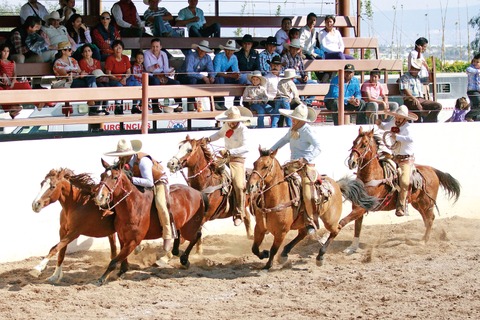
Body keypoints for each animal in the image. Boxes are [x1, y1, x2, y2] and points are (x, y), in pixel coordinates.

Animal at [248, 149, 378, 268]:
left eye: (266, 166)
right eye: (254, 163)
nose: (251, 185)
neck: (278, 198)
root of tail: (337, 185)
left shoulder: (281, 232)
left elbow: (274, 249)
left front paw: (267, 266)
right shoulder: (259, 227)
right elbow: (254, 248)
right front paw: (264, 253)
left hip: (329, 221)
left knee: (336, 229)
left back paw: (320, 256)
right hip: (305, 221)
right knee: (303, 233)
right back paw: (284, 254)